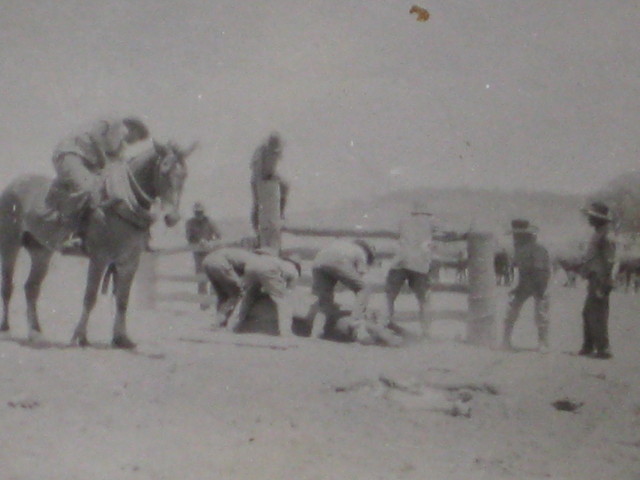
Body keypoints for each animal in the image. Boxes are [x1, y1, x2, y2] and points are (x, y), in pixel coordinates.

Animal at [0, 142, 192, 348]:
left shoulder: (129, 262)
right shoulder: (99, 259)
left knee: (31, 288)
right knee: (7, 286)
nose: (172, 217)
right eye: (164, 170)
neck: (122, 206)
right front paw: (80, 336)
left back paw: (35, 333)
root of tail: (12, 186)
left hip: (41, 252)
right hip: (10, 247)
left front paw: (121, 338)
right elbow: (90, 296)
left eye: (184, 175)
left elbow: (122, 300)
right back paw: (6, 329)